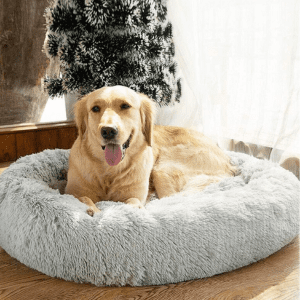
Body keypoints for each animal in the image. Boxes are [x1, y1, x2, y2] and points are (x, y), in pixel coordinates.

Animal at [64, 85, 236, 214]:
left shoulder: (135, 195)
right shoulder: (71, 191)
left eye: (125, 106)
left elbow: (132, 202)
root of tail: (230, 163)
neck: (109, 170)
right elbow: (83, 198)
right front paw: (92, 209)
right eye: (95, 108)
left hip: (163, 170)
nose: (108, 131)